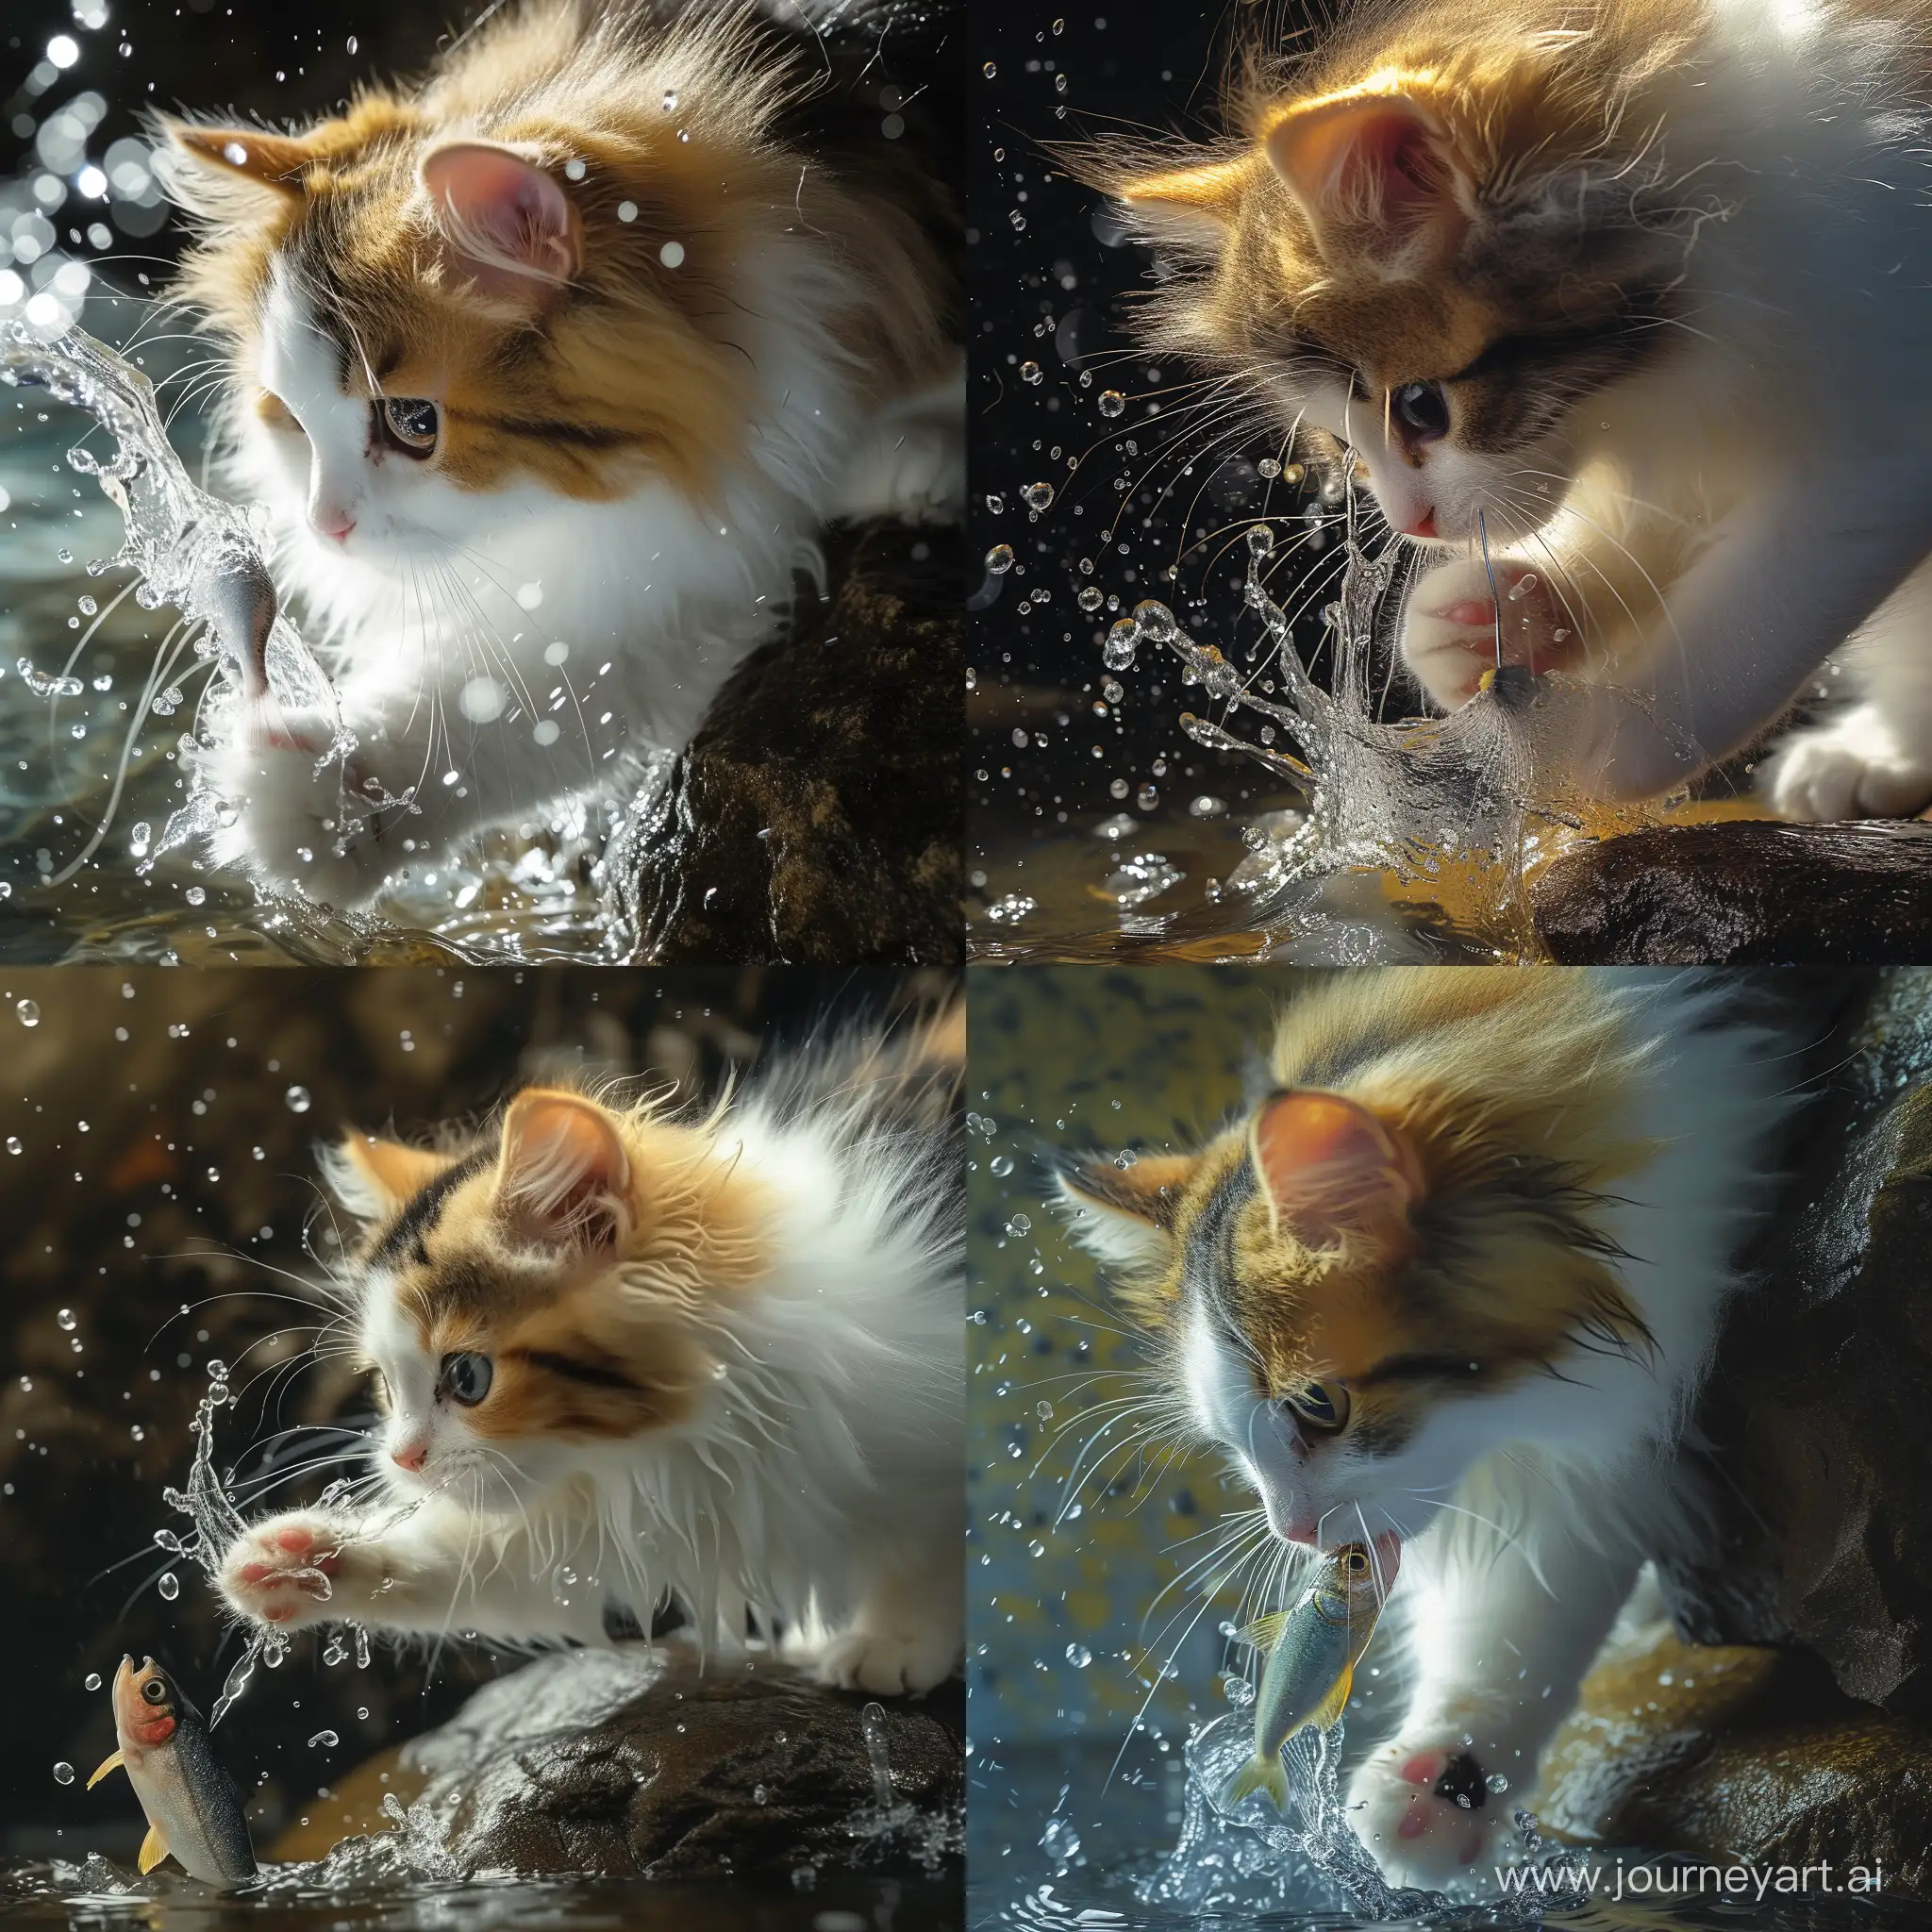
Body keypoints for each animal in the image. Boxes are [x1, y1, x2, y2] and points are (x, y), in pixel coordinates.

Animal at [154, 0, 961, 908]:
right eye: (291, 418)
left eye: (413, 422)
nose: (325, 525)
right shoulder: (675, 572)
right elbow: (515, 701)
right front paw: (335, 801)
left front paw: (914, 454)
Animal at [213, 996, 966, 1692]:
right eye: (384, 1384)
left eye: (467, 1378)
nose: (402, 1459)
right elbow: (488, 1558)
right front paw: (300, 1558)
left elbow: (927, 1549)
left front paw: (893, 1639)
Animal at [1058, 966, 1792, 1885]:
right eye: (1233, 1445)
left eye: (1320, 1405)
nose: (1294, 1531)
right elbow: (1516, 1617)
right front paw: (1439, 1782)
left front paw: (1442, 1790)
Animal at [1074, 0, 1932, 815]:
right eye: (1340, 442)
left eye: (1422, 408)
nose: (1413, 525)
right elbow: (1651, 528)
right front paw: (1509, 612)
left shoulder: (1876, 435)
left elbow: (1755, 612)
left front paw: (1612, 734)